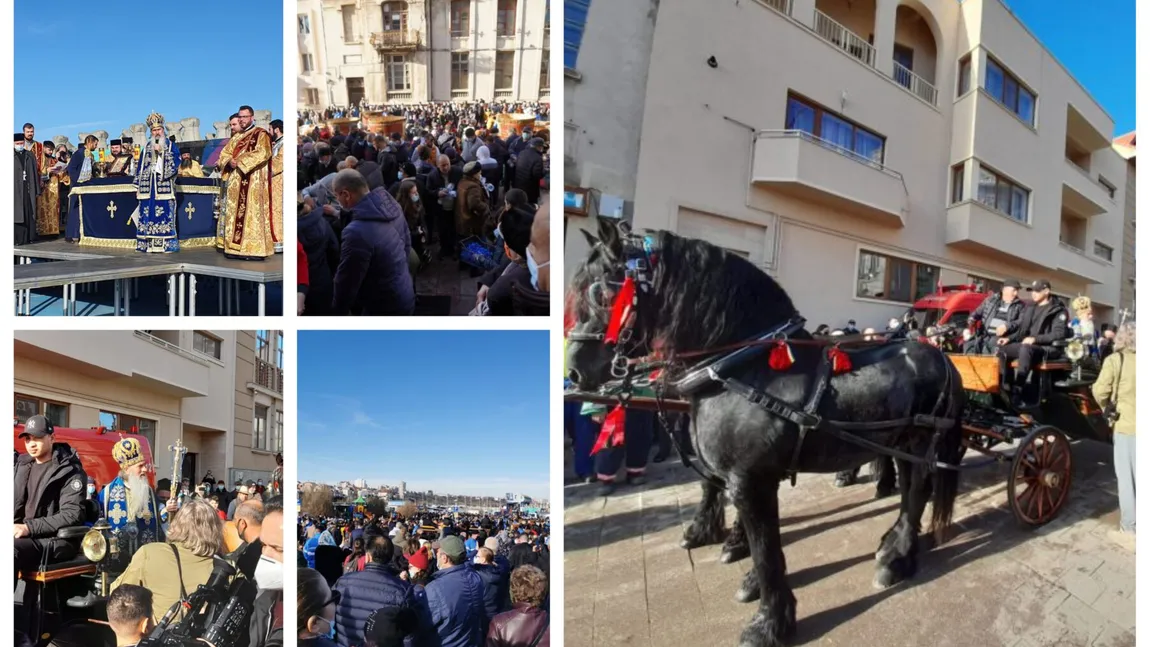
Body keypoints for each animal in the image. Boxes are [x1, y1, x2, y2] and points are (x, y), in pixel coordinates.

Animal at [570, 220, 966, 643]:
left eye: (601, 292)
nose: (575, 371)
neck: (742, 366)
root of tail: (941, 355)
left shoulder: (751, 480)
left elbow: (767, 552)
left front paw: (770, 622)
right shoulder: (742, 477)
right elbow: (754, 534)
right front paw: (746, 575)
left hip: (921, 443)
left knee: (917, 491)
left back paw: (896, 558)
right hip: (901, 443)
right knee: (910, 491)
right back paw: (893, 544)